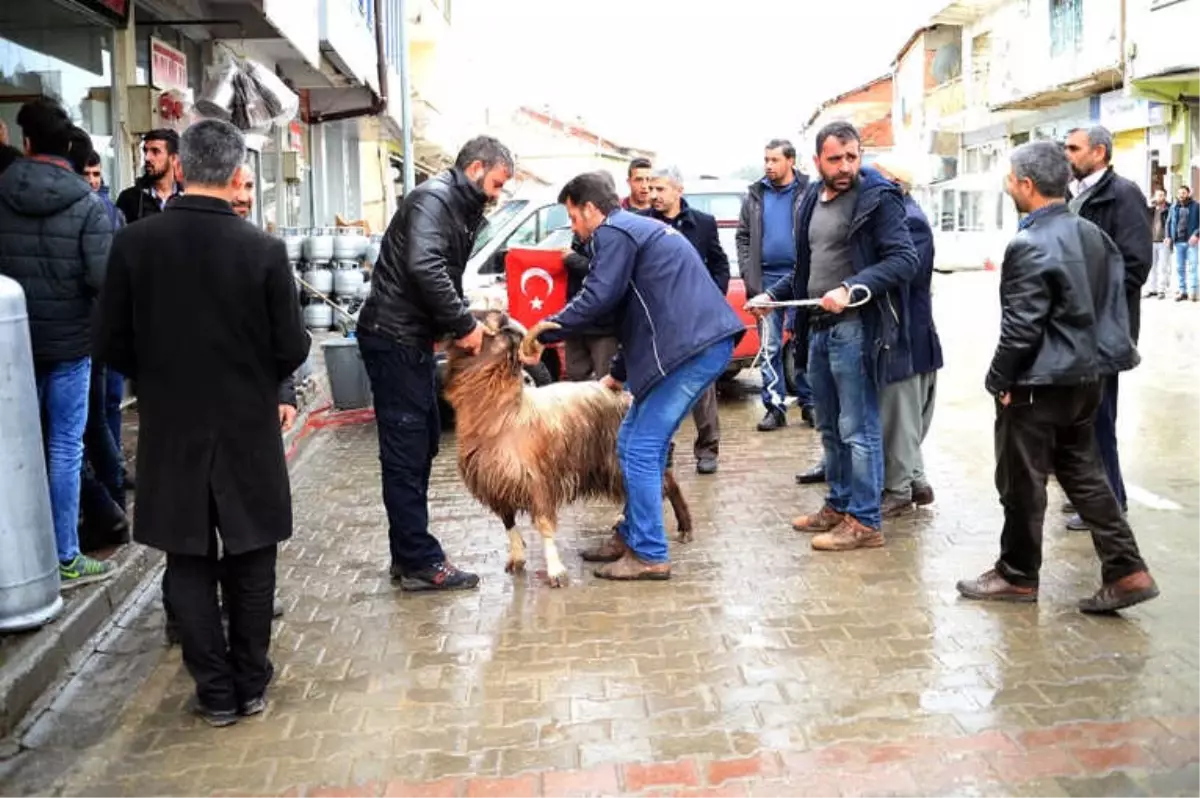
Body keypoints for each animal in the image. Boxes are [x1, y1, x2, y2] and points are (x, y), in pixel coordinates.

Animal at [444, 312, 696, 585]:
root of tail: (626, 394)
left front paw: (555, 571)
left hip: (618, 457)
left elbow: (544, 524)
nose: (503, 319)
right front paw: (517, 558)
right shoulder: (496, 482)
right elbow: (508, 523)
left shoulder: (537, 481)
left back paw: (684, 528)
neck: (505, 414)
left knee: (666, 485)